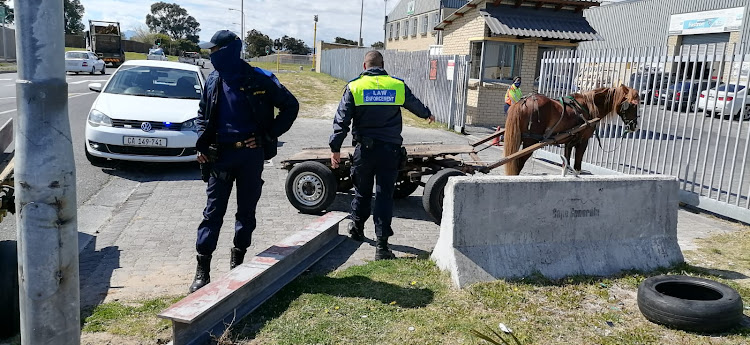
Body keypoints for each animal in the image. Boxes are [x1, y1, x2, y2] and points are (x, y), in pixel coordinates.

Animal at [506, 83, 640, 175]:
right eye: (632, 105)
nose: (635, 126)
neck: (588, 107)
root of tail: (522, 102)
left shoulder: (569, 143)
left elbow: (566, 165)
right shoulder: (583, 142)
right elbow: (577, 167)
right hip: (530, 142)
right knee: (517, 165)